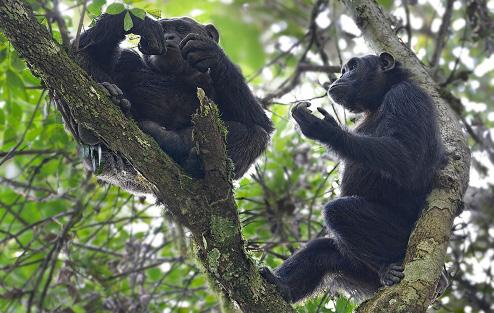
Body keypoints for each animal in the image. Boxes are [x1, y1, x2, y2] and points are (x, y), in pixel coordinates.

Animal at [59, 10, 274, 193]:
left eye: (180, 29)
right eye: (164, 30)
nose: (169, 36)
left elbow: (259, 122)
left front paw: (211, 51)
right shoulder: (126, 60)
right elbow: (80, 60)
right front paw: (137, 21)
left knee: (257, 135)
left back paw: (181, 150)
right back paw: (107, 107)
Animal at [260, 52, 446, 302]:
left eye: (353, 66)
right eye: (343, 69)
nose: (341, 77)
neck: (380, 98)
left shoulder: (406, 96)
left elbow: (406, 158)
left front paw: (324, 128)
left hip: (402, 235)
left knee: (339, 211)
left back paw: (388, 267)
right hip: (358, 270)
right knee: (321, 251)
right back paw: (280, 285)